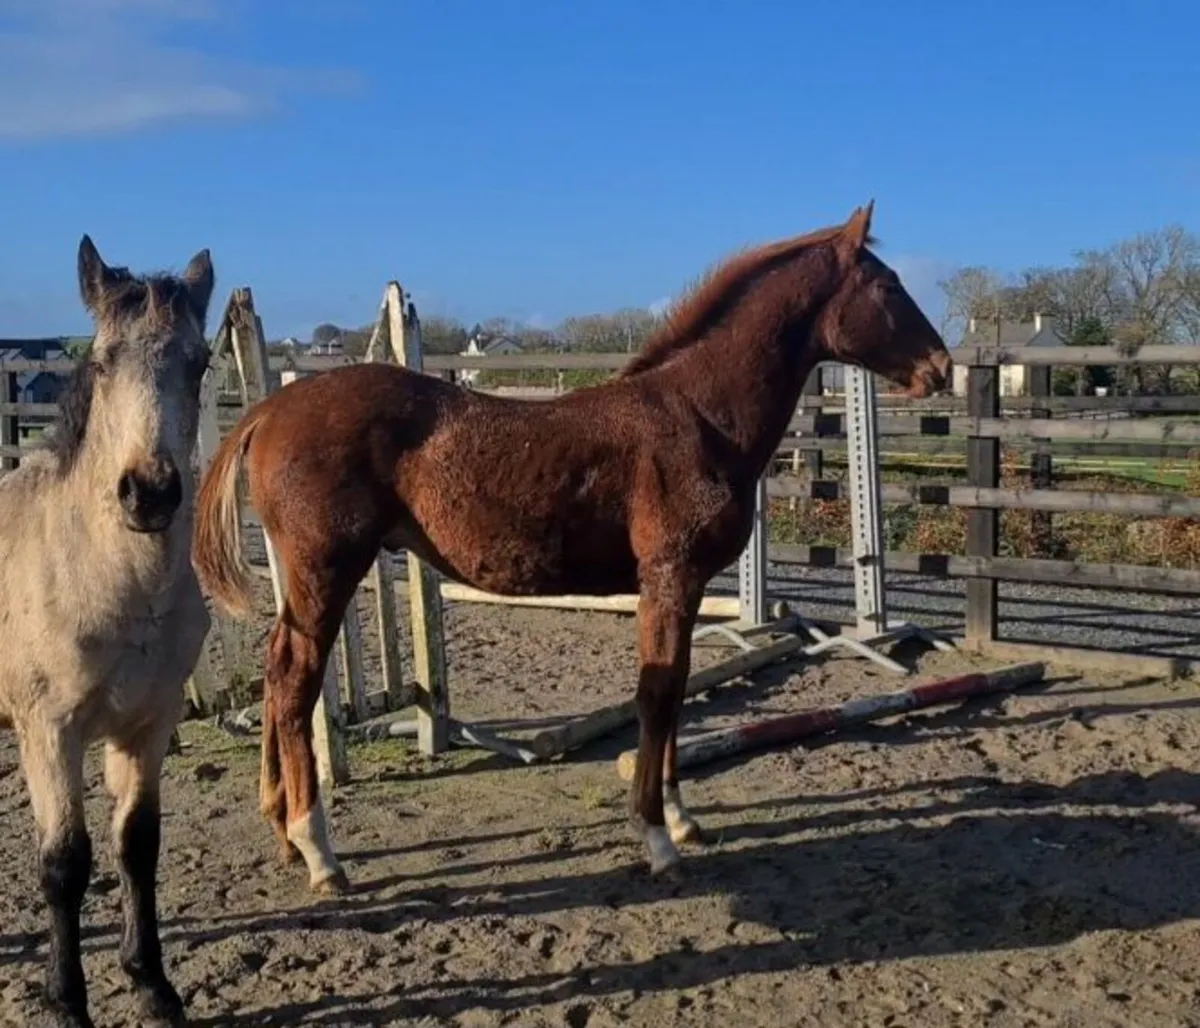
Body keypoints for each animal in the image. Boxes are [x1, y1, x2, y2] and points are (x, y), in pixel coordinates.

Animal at [0, 237, 215, 1028]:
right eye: (100, 360)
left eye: (201, 360)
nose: (148, 493)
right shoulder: (49, 731)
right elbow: (65, 862)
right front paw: (66, 1000)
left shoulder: (147, 725)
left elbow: (137, 846)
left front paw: (152, 982)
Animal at [191, 201, 952, 895]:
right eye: (887, 285)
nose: (941, 368)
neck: (698, 416)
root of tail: (266, 411)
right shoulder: (669, 575)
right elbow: (656, 694)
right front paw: (656, 838)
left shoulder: (685, 585)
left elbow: (676, 690)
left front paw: (681, 819)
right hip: (327, 569)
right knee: (294, 680)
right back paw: (318, 851)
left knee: (277, 669)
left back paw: (282, 830)